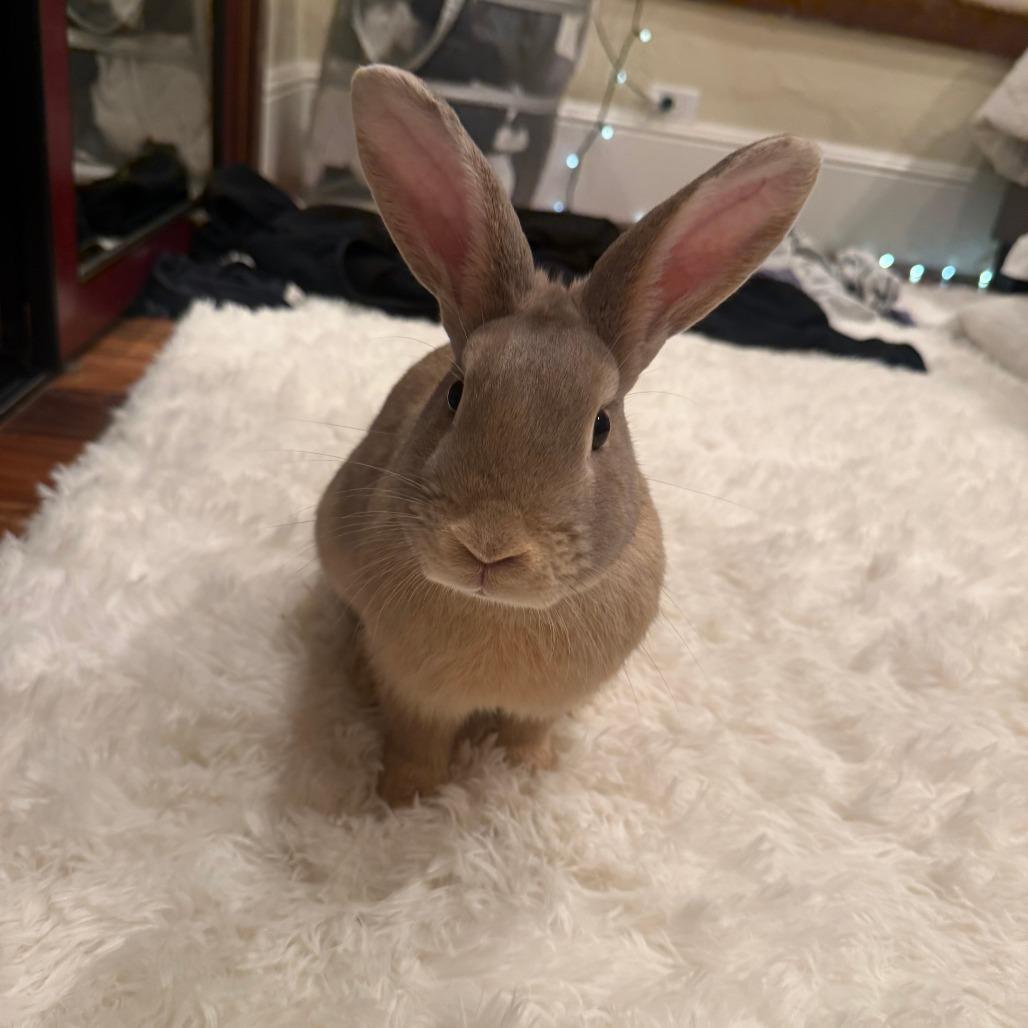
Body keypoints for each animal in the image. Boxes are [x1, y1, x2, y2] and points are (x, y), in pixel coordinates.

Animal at [315, 65, 820, 806]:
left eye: (602, 427)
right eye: (457, 393)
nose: (490, 546)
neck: (497, 610)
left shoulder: (544, 705)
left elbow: (529, 732)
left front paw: (527, 775)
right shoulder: (416, 696)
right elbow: (416, 745)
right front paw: (403, 803)